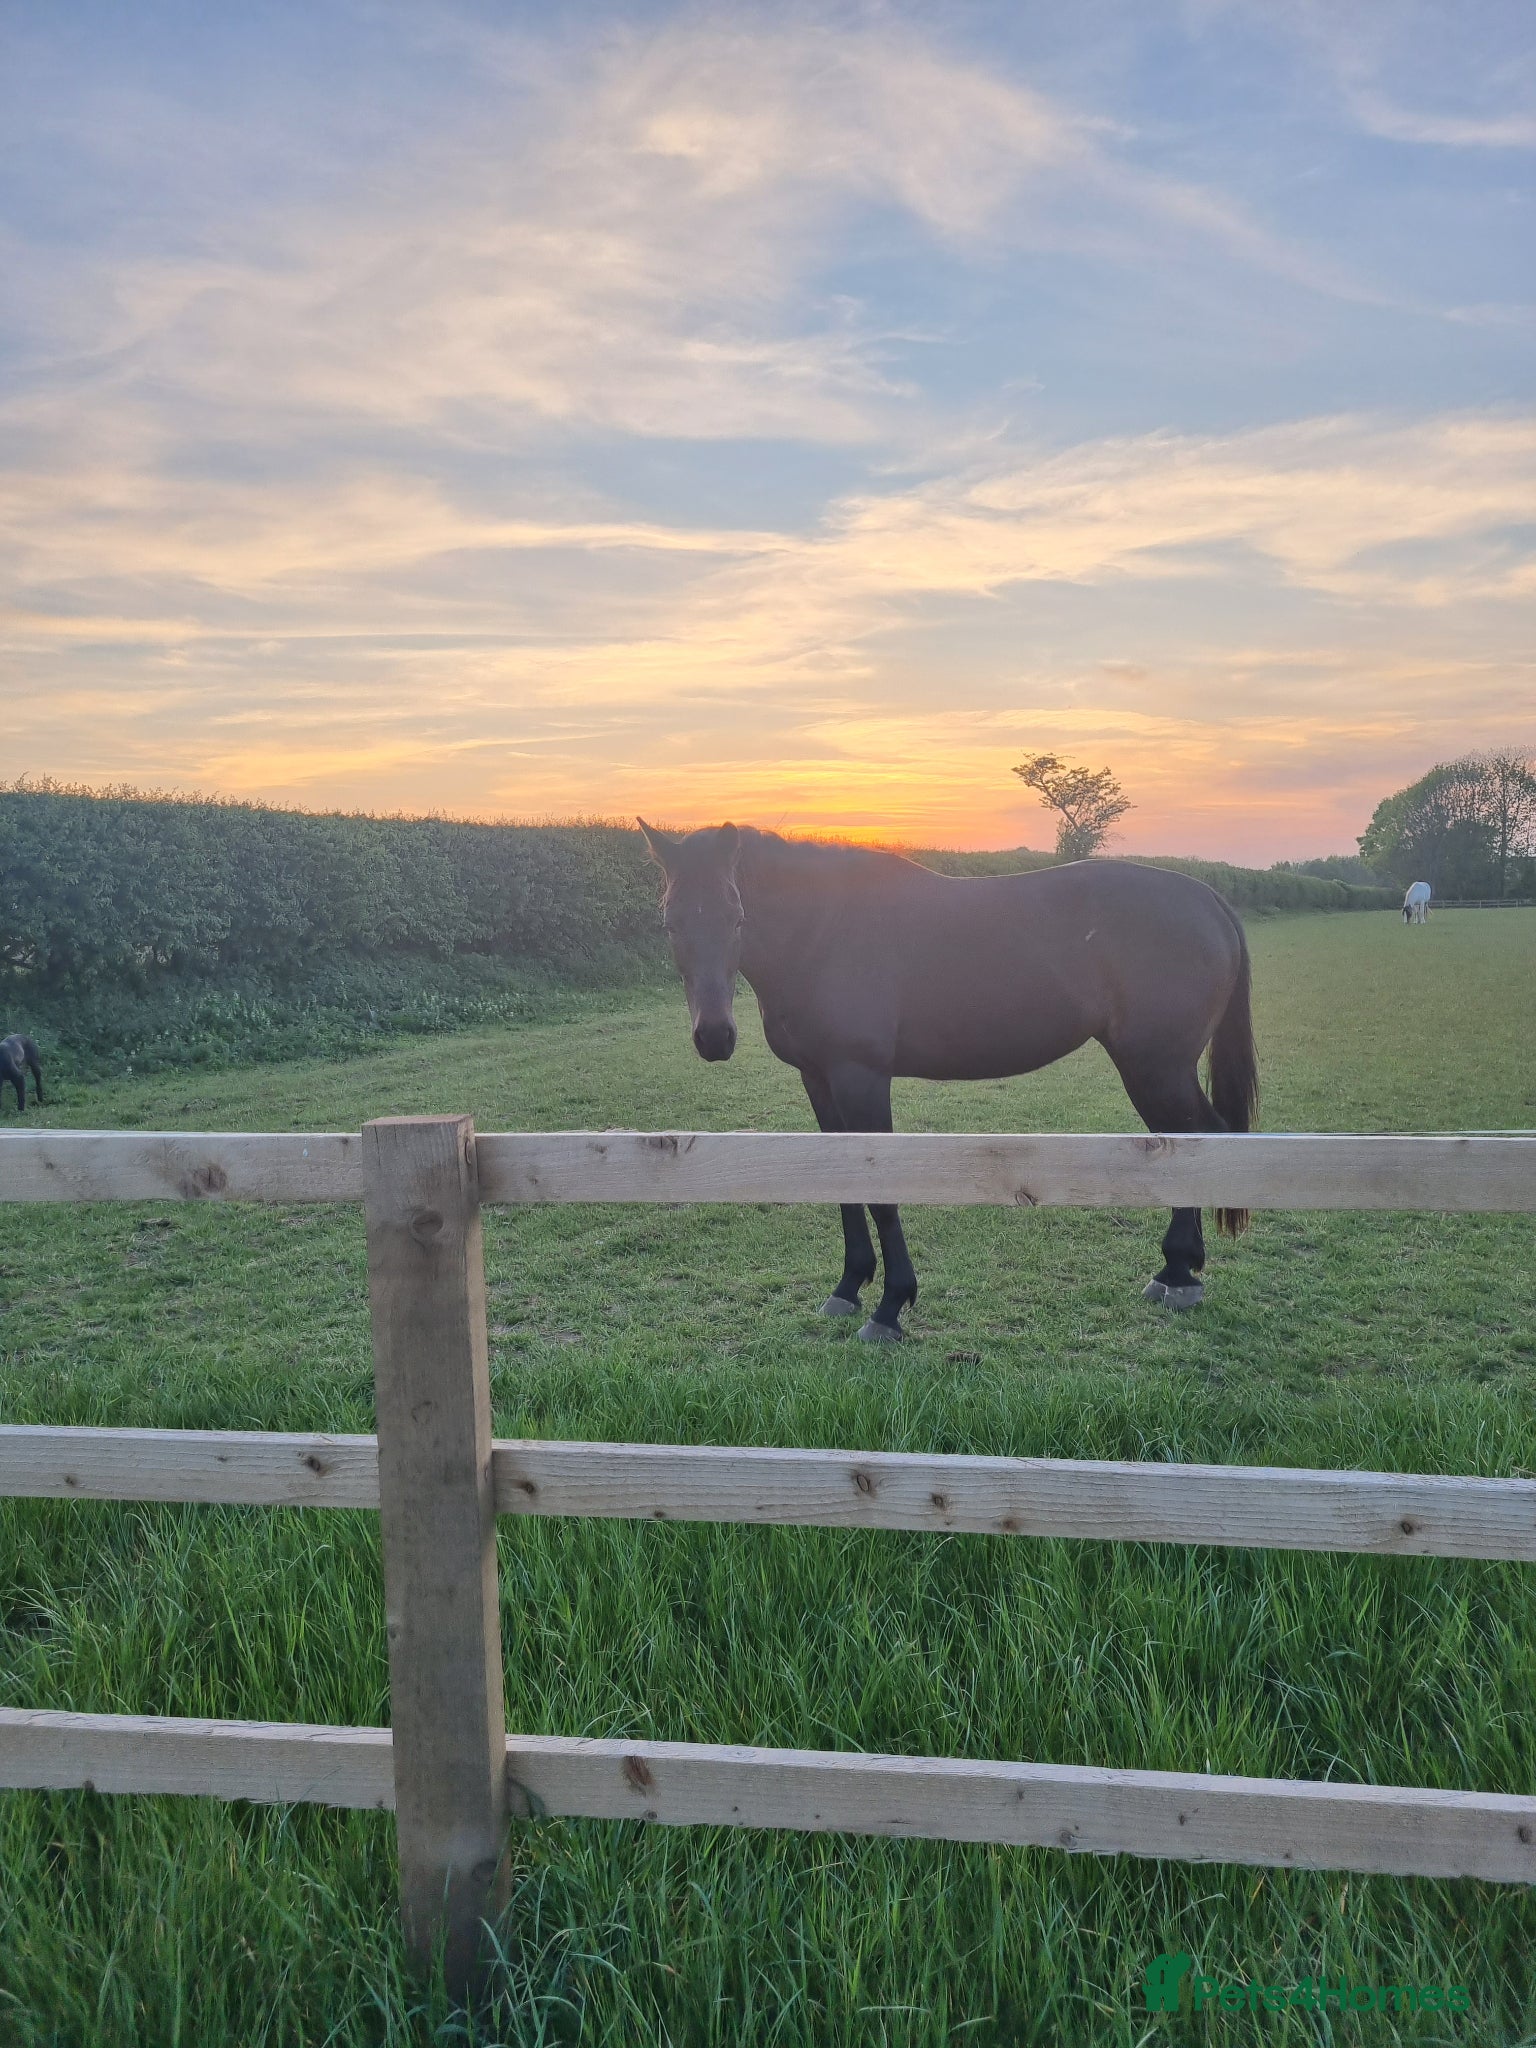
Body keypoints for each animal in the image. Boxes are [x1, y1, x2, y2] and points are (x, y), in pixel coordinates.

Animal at [639, 821, 1258, 1339]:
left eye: (737, 917)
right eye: (669, 923)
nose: (714, 1037)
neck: (824, 931)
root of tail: (1206, 898)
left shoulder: (861, 1078)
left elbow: (881, 1191)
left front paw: (890, 1307)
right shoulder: (818, 1079)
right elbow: (845, 1183)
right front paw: (848, 1287)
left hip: (1156, 1068)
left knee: (1199, 1143)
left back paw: (1178, 1273)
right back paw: (1177, 1271)